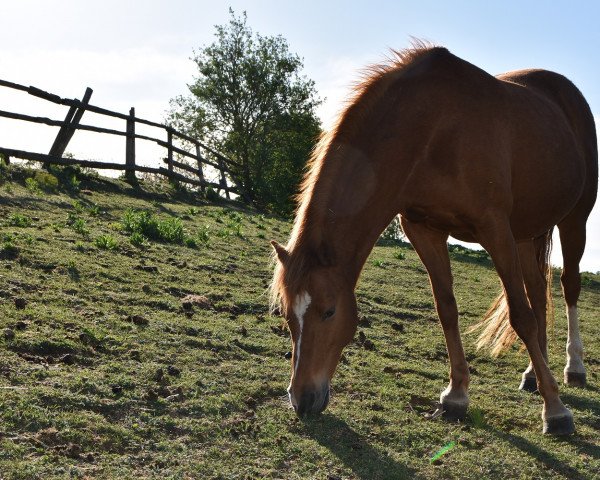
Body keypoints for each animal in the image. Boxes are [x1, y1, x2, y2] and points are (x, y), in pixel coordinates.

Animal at [270, 44, 596, 436]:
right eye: (285, 313)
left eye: (329, 311)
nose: (301, 399)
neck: (431, 130)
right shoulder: (424, 229)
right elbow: (447, 309)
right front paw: (456, 396)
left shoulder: (494, 229)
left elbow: (522, 316)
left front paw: (556, 411)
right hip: (526, 232)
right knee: (537, 290)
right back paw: (534, 373)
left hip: (573, 220)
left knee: (568, 286)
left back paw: (573, 369)